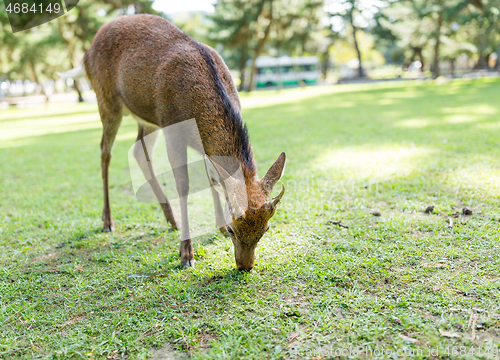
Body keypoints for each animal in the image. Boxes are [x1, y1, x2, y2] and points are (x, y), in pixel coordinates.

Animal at [58, 15, 286, 272]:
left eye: (265, 229)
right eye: (233, 229)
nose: (245, 266)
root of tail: (85, 55)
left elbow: (212, 180)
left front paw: (214, 226)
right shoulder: (172, 129)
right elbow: (183, 185)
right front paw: (186, 253)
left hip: (148, 118)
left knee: (139, 151)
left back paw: (171, 219)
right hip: (107, 101)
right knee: (105, 152)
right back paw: (108, 220)